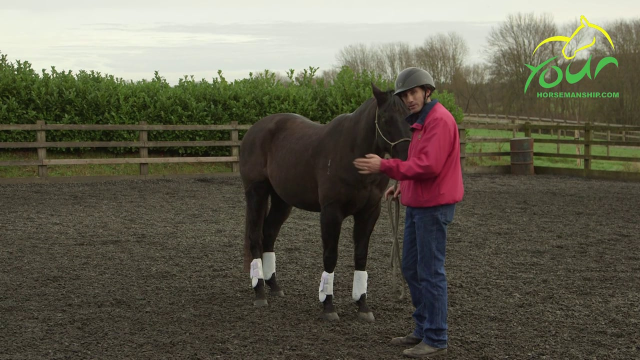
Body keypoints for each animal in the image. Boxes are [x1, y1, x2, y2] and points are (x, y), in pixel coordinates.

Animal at [239, 82, 410, 320]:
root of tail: (254, 130)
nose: (407, 155)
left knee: (269, 234)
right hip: (257, 192)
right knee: (255, 236)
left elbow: (361, 255)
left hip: (282, 200)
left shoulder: (369, 212)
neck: (353, 154)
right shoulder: (331, 212)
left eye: (410, 116)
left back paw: (273, 285)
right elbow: (330, 256)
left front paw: (362, 305)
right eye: (386, 119)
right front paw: (328, 305)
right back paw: (260, 292)